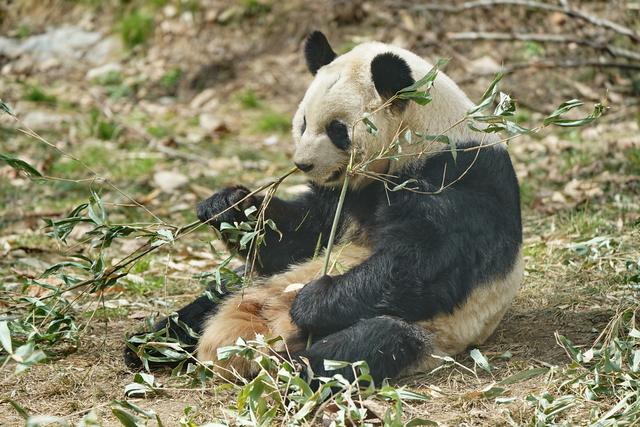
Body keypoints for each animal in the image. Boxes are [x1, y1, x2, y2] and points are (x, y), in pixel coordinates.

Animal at [122, 31, 524, 382]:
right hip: (253, 283)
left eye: (337, 129)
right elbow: (301, 235)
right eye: (302, 122)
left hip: (426, 333)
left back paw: (287, 369)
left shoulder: (458, 180)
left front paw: (311, 300)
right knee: (213, 297)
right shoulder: (341, 198)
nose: (302, 164)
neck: (424, 133)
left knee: (365, 345)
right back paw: (148, 345)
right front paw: (229, 205)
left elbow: (424, 265)